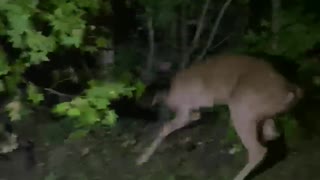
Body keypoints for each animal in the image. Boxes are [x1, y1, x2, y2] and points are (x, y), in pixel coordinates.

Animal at [136, 54, 302, 180]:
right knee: (272, 133)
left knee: (258, 150)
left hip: (240, 110)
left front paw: (142, 158)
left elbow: (165, 127)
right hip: (259, 113)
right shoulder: (191, 111)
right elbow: (192, 117)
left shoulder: (184, 109)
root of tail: (290, 90)